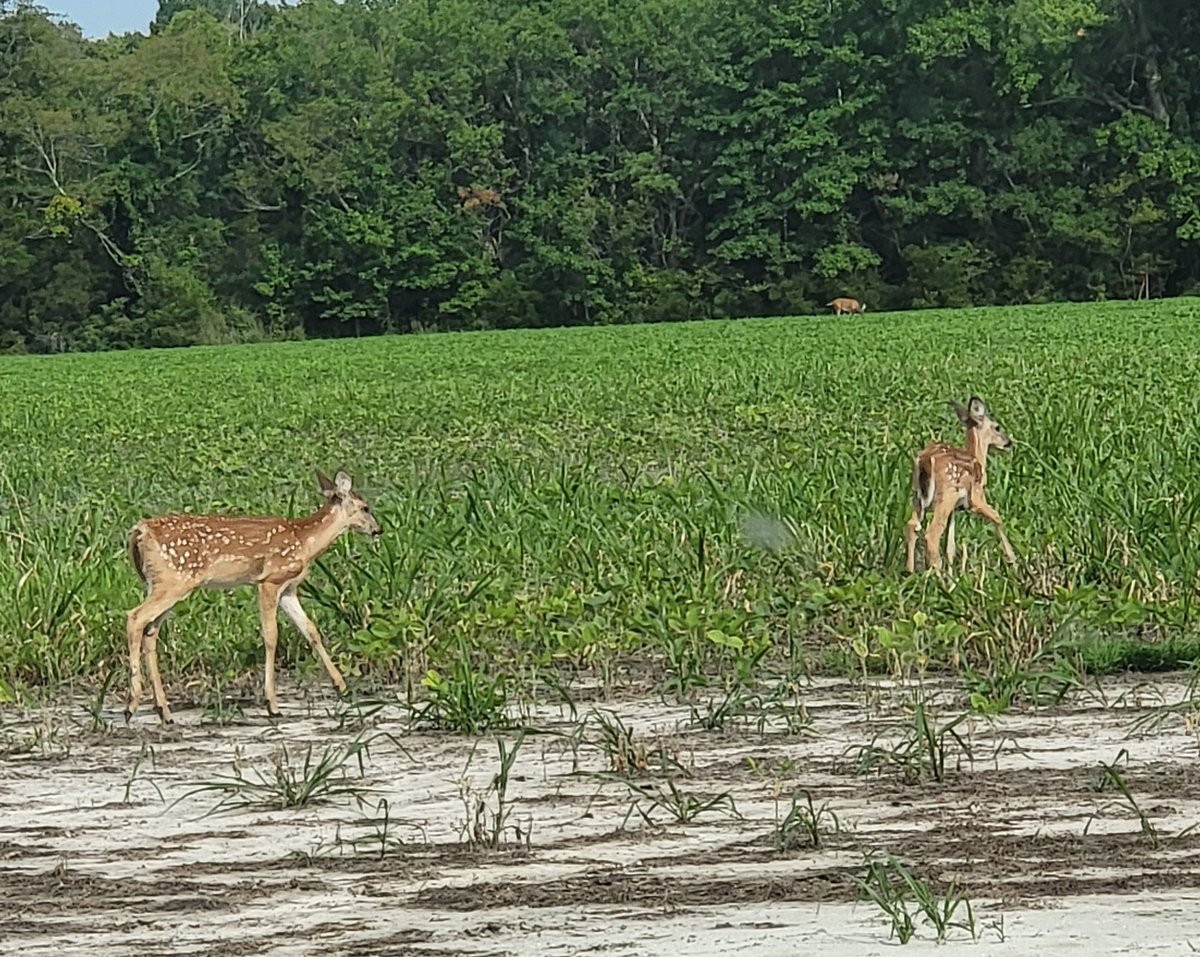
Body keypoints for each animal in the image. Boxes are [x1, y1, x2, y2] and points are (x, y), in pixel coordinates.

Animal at [124, 470, 381, 724]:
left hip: (164, 583)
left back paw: (164, 711)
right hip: (174, 581)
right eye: (366, 508)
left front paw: (342, 686)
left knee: (150, 631)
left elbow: (311, 630)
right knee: (135, 617)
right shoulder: (269, 581)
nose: (378, 530)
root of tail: (141, 530)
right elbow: (271, 636)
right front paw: (272, 705)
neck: (305, 542)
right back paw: (132, 705)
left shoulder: (288, 589)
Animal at [904, 397, 1018, 575]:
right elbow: (997, 517)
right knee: (932, 534)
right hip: (947, 494)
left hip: (918, 496)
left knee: (912, 525)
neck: (977, 458)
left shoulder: (955, 509)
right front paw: (1013, 560)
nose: (1008, 442)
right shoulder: (976, 497)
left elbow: (950, 546)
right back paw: (938, 576)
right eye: (997, 427)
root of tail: (925, 461)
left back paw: (910, 572)